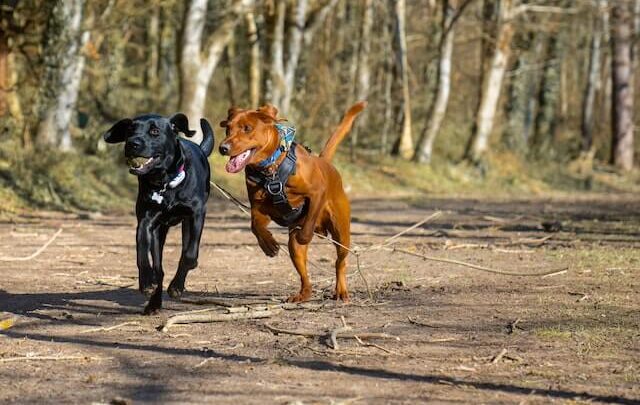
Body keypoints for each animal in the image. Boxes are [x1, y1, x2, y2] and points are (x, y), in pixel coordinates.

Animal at [104, 112, 214, 314]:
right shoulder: (146, 222)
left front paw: (176, 287)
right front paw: (147, 283)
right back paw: (154, 303)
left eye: (154, 131)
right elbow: (142, 254)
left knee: (186, 252)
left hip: (186, 224)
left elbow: (189, 256)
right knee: (159, 267)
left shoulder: (196, 214)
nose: (132, 143)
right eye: (130, 130)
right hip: (159, 232)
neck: (165, 182)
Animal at [219, 102, 364, 302]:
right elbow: (255, 225)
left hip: (341, 231)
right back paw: (303, 294)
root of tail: (324, 162)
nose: (223, 148)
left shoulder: (316, 193)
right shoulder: (258, 206)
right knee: (304, 273)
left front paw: (305, 235)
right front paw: (269, 245)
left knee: (339, 261)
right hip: (295, 251)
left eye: (247, 128)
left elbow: (308, 222)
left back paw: (341, 290)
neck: (271, 168)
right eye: (228, 128)